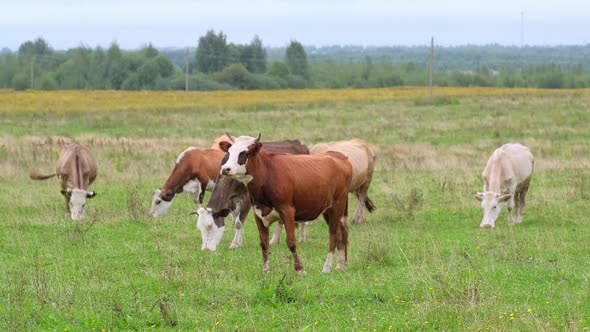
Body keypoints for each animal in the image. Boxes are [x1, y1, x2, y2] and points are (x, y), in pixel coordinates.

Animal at [221, 134, 352, 274]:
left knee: (333, 235)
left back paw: (327, 267)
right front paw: (265, 269)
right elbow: (264, 243)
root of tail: (340, 156)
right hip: (328, 210)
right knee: (342, 232)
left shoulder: (287, 211)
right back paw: (341, 264)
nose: (225, 169)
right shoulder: (258, 214)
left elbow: (291, 242)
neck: (268, 173)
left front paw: (300, 270)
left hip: (337, 206)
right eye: (229, 152)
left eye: (244, 153)